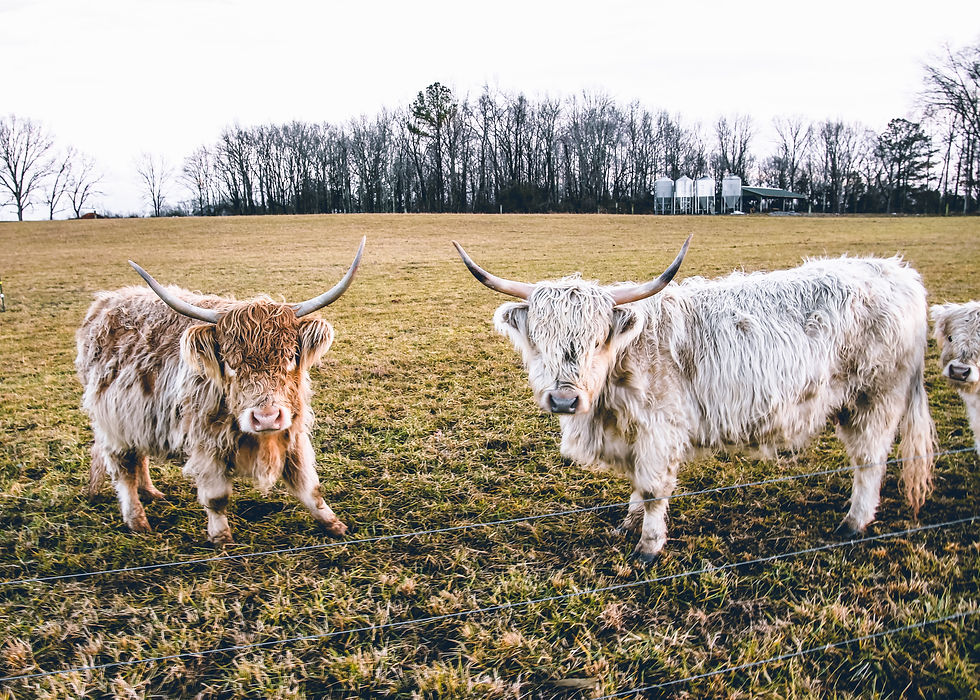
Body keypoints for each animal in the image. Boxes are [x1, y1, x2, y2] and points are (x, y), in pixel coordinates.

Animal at [76, 238, 364, 544]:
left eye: (289, 357)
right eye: (230, 363)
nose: (265, 417)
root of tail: (106, 302)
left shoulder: (291, 432)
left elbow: (309, 488)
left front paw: (335, 525)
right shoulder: (207, 443)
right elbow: (216, 497)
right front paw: (221, 538)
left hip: (135, 419)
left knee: (138, 456)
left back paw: (151, 492)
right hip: (112, 424)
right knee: (123, 469)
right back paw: (137, 520)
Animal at [454, 238, 936, 561]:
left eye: (596, 340)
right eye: (539, 340)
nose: (563, 400)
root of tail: (897, 272)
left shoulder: (660, 429)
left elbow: (652, 488)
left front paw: (648, 547)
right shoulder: (637, 435)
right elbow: (637, 484)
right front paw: (626, 525)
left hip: (876, 398)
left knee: (869, 460)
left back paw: (853, 522)